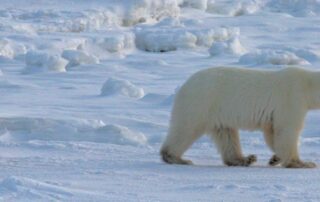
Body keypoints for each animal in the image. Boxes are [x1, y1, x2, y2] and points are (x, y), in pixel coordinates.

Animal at [161, 67, 318, 168]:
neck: (308, 85)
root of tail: (185, 84)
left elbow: (272, 132)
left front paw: (275, 159)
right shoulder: (291, 98)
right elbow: (287, 130)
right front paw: (304, 163)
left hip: (218, 111)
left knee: (226, 134)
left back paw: (244, 159)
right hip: (201, 103)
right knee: (186, 129)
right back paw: (177, 158)